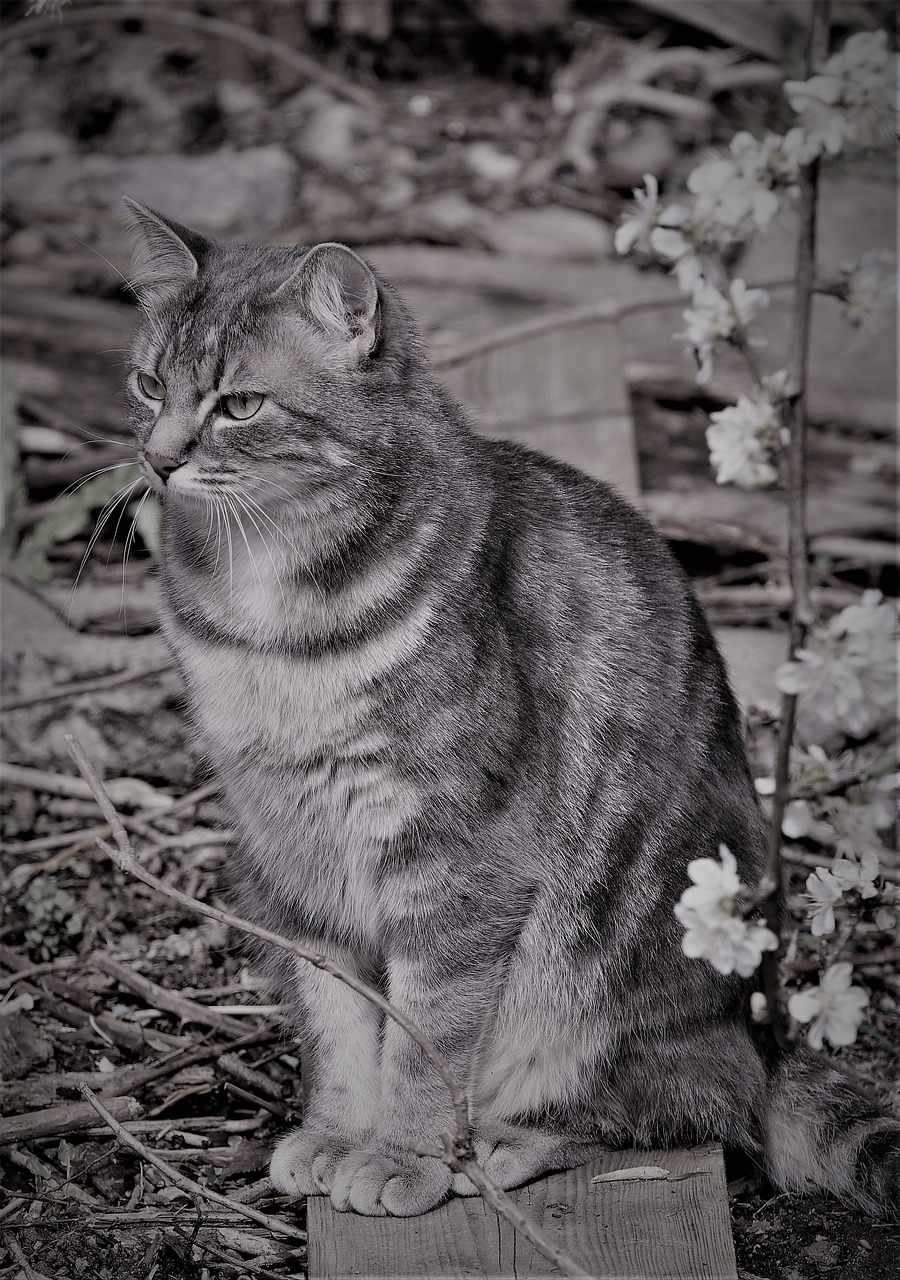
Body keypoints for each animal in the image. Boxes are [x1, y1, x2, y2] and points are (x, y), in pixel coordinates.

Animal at [122, 199, 896, 1218]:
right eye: (147, 385)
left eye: (239, 406)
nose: (158, 458)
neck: (267, 625)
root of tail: (769, 1047)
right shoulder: (288, 857)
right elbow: (337, 1025)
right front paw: (335, 1131)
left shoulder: (455, 861)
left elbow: (424, 1038)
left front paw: (401, 1154)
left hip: (616, 968)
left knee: (698, 1109)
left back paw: (496, 1141)